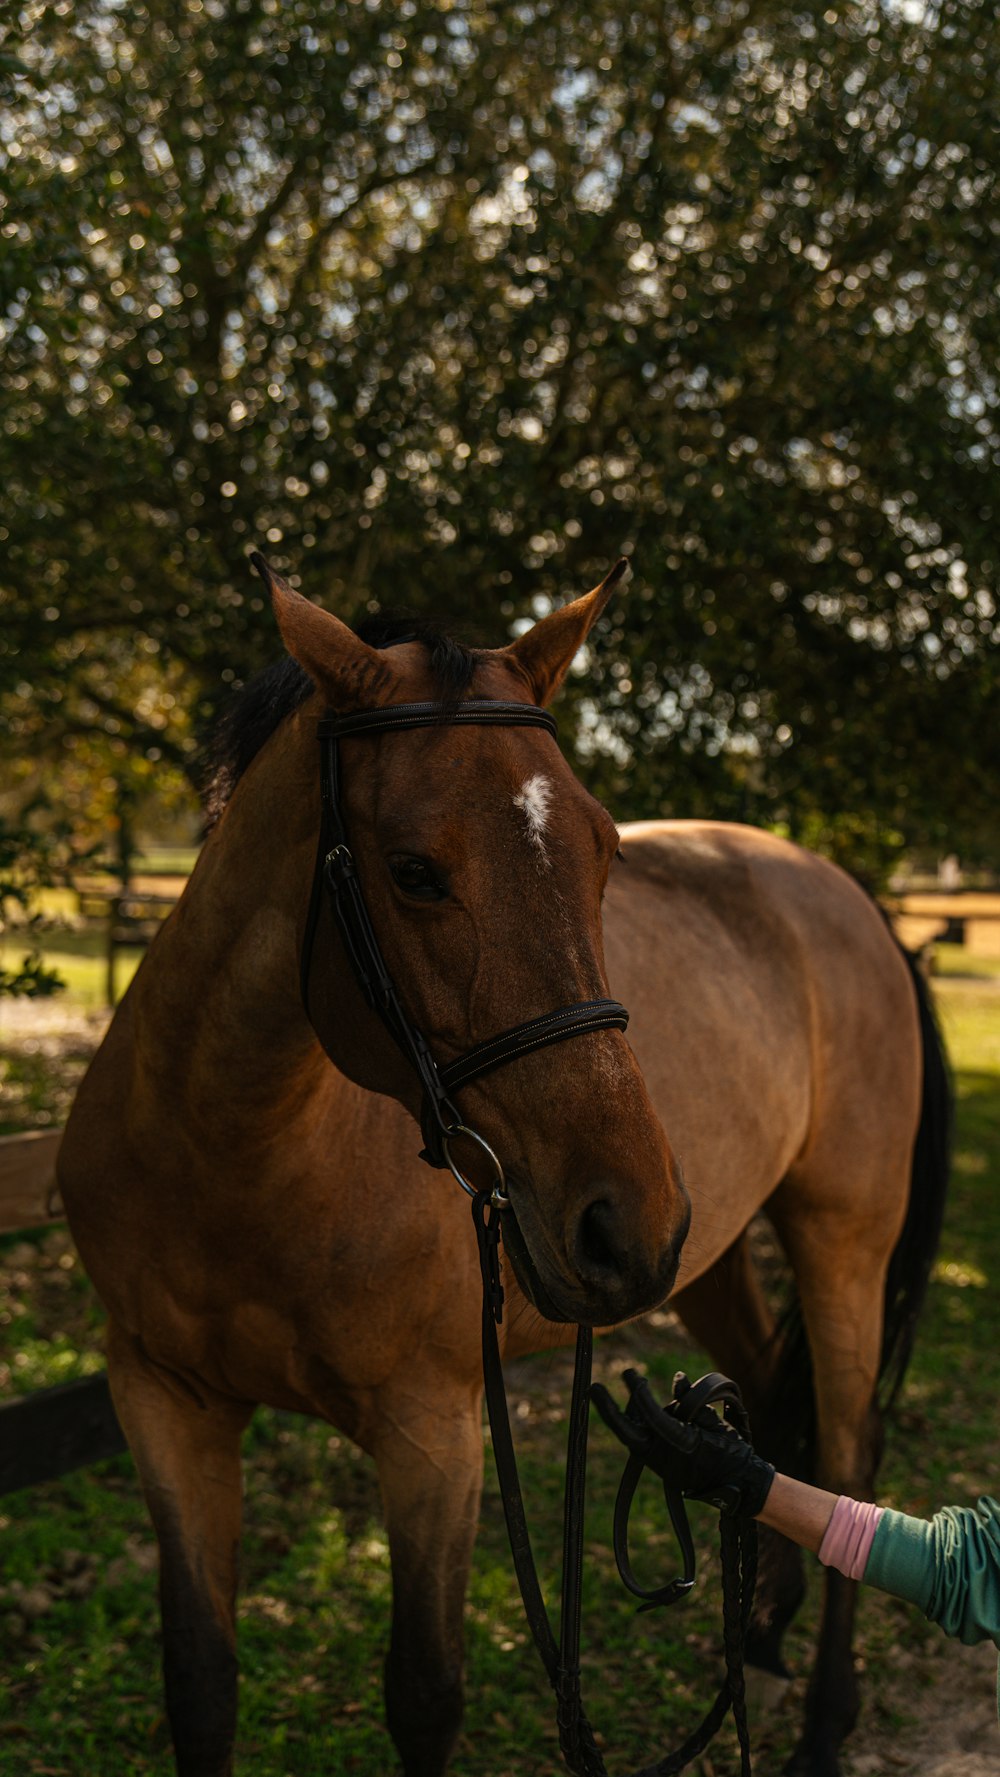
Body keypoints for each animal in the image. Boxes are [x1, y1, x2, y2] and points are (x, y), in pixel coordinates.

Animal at [58, 572, 952, 1777]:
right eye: (412, 871)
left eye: (603, 850)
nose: (623, 1223)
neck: (232, 1156)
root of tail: (850, 897)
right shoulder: (164, 1402)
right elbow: (199, 1684)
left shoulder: (432, 1436)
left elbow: (425, 1695)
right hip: (712, 1254)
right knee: (768, 1398)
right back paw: (758, 1631)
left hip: (839, 1235)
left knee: (852, 1448)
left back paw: (821, 1720)